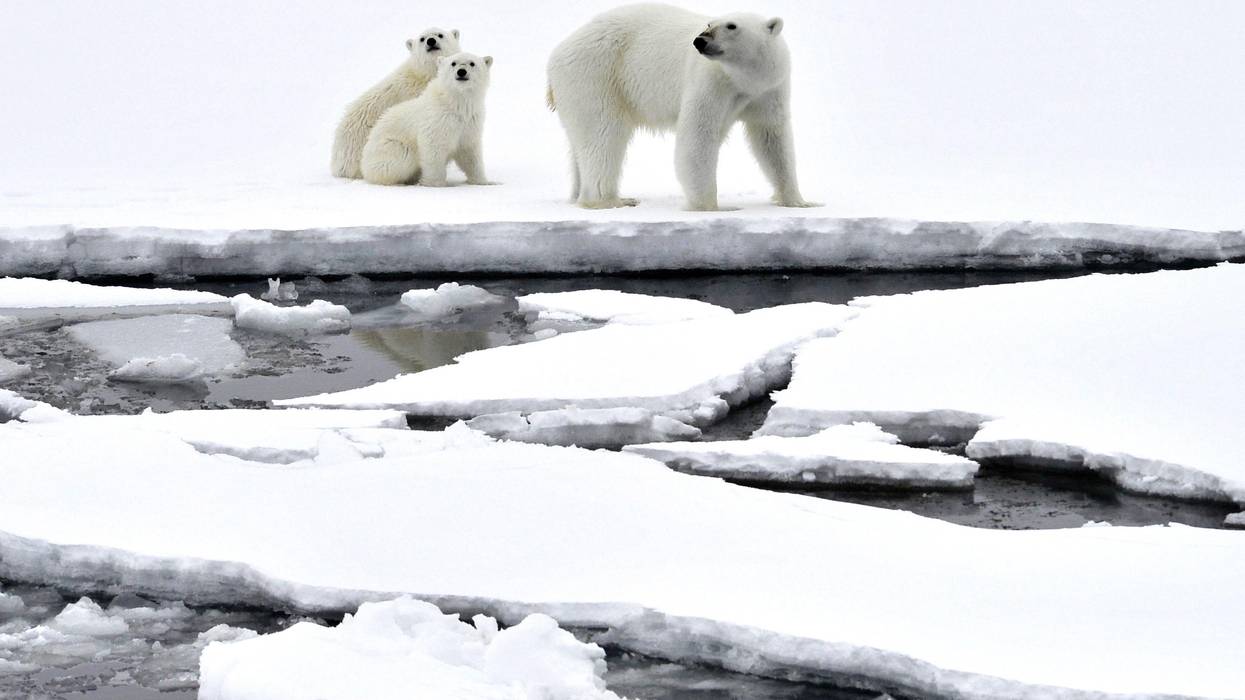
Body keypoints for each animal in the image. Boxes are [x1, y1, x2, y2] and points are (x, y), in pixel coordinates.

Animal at [360, 52, 494, 187]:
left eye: (472, 63)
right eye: (453, 63)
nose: (461, 72)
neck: (455, 103)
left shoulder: (470, 121)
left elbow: (470, 152)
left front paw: (484, 181)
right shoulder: (438, 119)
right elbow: (433, 148)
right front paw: (436, 183)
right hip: (389, 147)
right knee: (400, 157)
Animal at [546, 4, 817, 211]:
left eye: (731, 25)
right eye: (709, 24)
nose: (699, 41)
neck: (743, 80)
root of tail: (556, 55)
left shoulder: (769, 90)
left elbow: (771, 139)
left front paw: (798, 201)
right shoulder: (711, 83)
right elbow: (697, 137)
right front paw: (712, 206)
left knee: (582, 143)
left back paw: (579, 193)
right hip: (597, 77)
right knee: (603, 136)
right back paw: (610, 200)